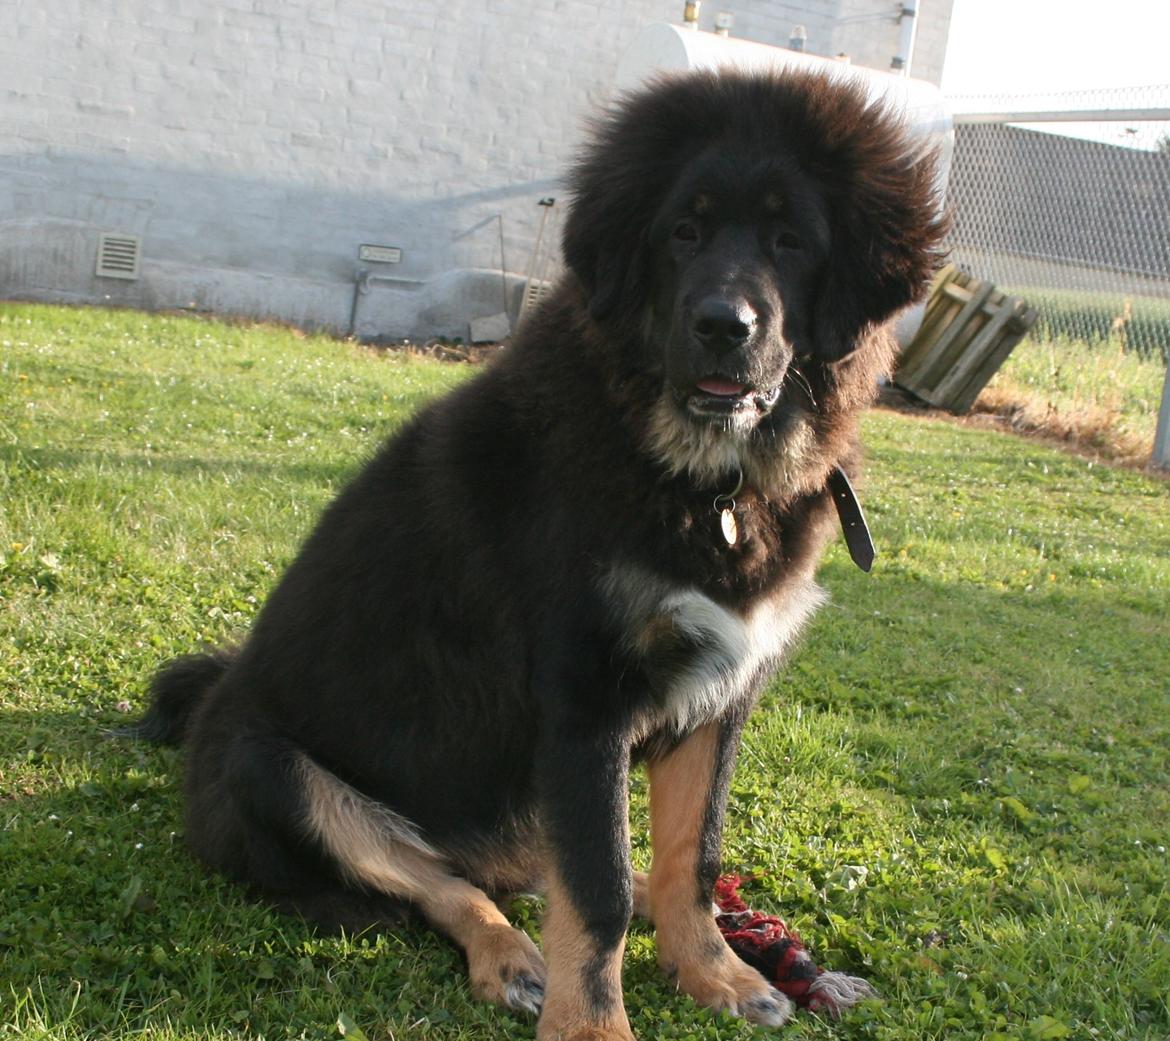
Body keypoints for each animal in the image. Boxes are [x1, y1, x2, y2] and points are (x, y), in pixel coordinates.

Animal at [141, 71, 945, 1038]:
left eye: (791, 241)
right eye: (683, 231)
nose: (724, 325)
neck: (709, 485)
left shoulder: (720, 695)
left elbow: (693, 857)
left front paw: (713, 969)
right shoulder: (583, 700)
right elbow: (596, 890)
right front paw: (591, 1024)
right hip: (272, 766)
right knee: (442, 880)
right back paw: (510, 956)